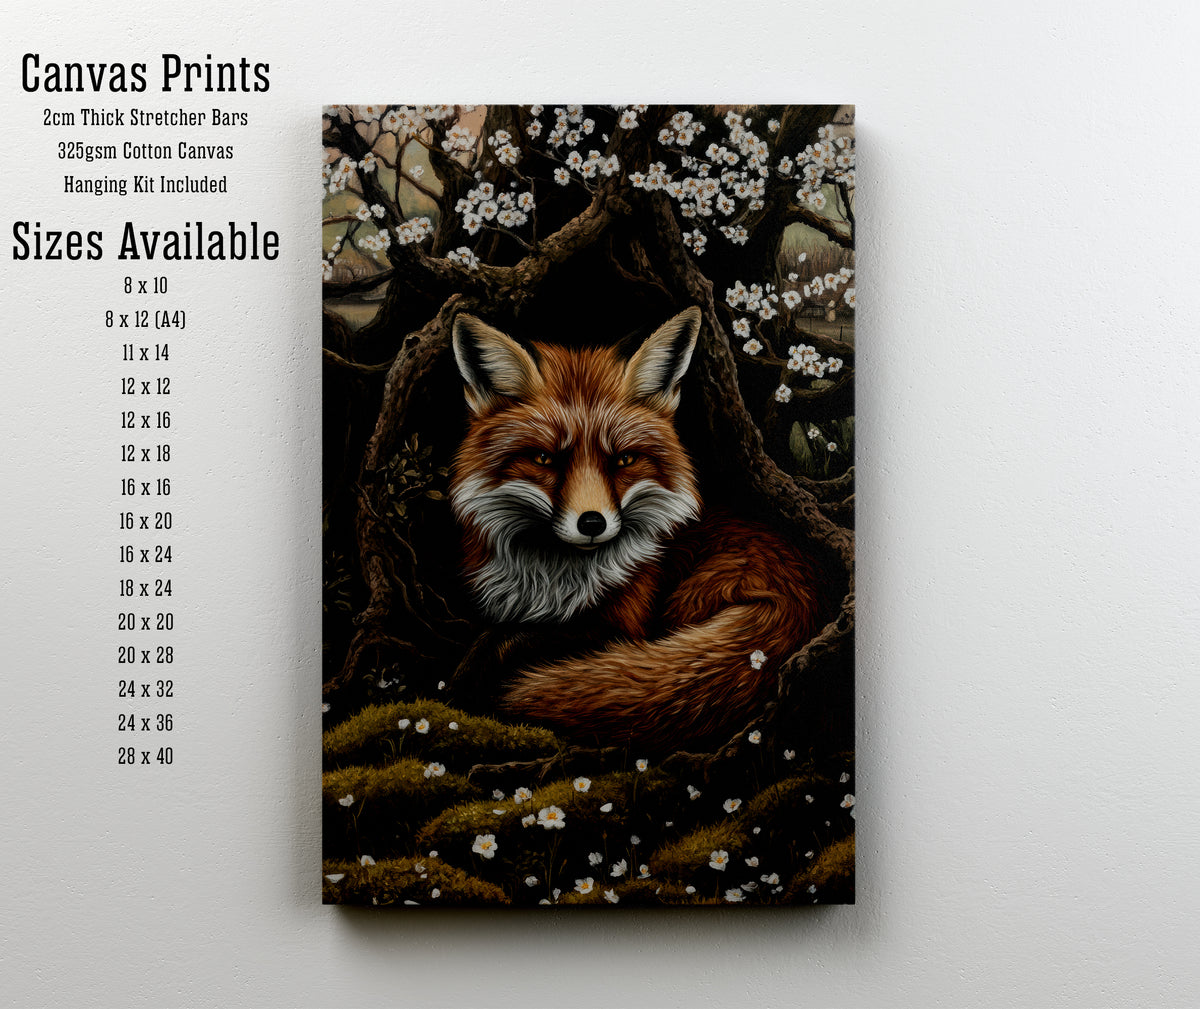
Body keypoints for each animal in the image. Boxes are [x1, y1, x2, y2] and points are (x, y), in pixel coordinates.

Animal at [448, 306, 823, 753]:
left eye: (624, 460)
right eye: (544, 459)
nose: (592, 522)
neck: (553, 578)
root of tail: (803, 597)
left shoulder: (623, 625)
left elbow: (511, 638)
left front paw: (470, 682)